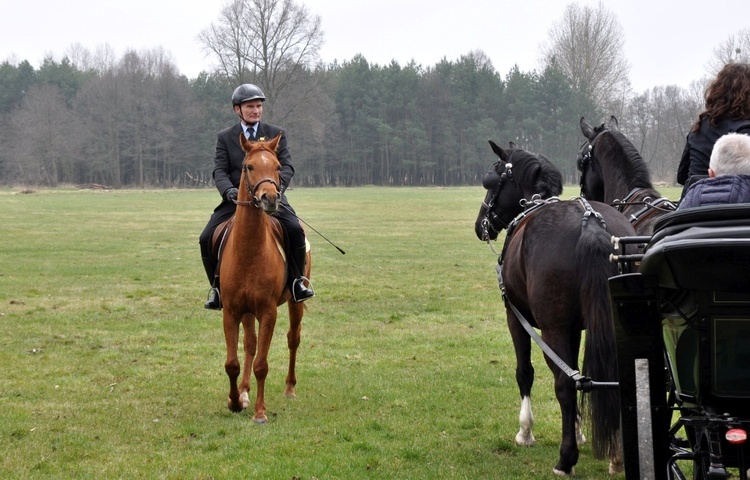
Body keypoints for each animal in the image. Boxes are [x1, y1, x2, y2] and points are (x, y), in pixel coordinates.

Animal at [220, 130, 312, 420]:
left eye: (278, 167)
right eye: (248, 166)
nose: (270, 199)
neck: (249, 250)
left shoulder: (268, 311)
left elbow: (262, 363)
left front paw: (260, 413)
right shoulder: (232, 311)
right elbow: (233, 362)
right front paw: (235, 400)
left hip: (295, 302)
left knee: (293, 338)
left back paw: (289, 388)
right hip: (247, 311)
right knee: (250, 344)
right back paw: (244, 391)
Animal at [476, 141, 636, 474]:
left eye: (490, 182)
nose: (479, 225)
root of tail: (592, 224)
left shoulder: (516, 317)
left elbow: (525, 372)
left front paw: (526, 431)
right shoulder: (575, 328)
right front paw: (578, 429)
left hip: (552, 328)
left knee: (563, 383)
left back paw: (566, 458)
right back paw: (616, 456)